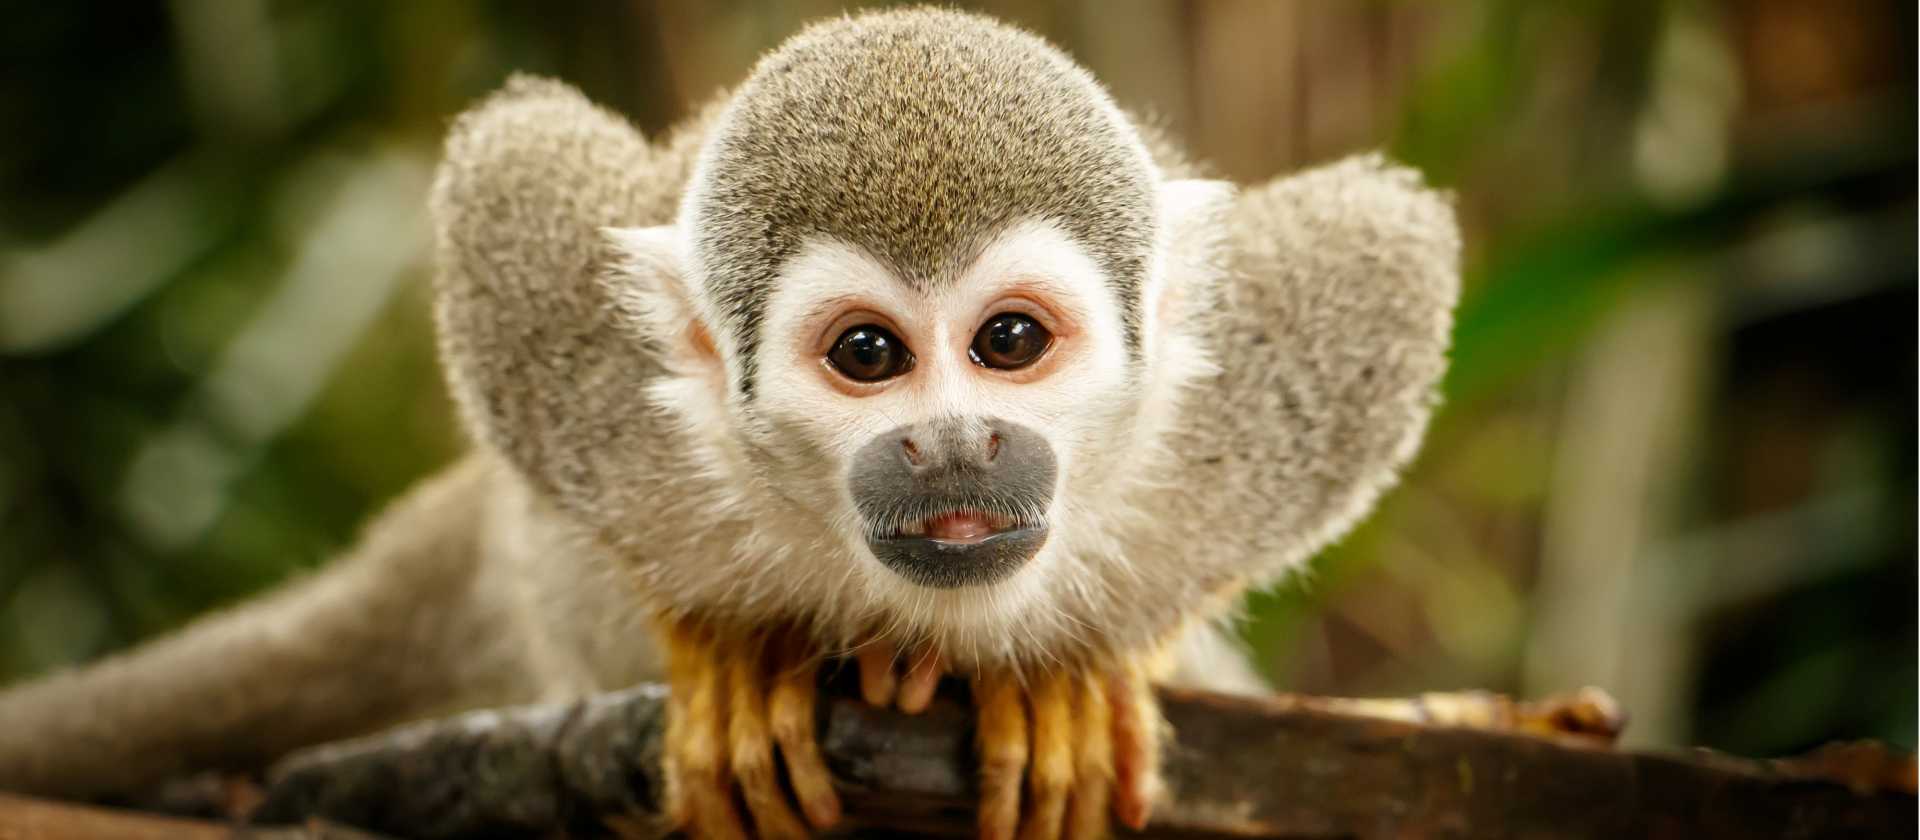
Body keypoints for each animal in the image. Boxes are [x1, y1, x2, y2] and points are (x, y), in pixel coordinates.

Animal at [0, 8, 1459, 840]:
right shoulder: (587, 389)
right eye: (869, 355)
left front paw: (1081, 674)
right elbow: (513, 170)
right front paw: (725, 651)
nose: (955, 445)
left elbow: (1390, 249)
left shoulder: (1263, 395)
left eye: (1009, 345)